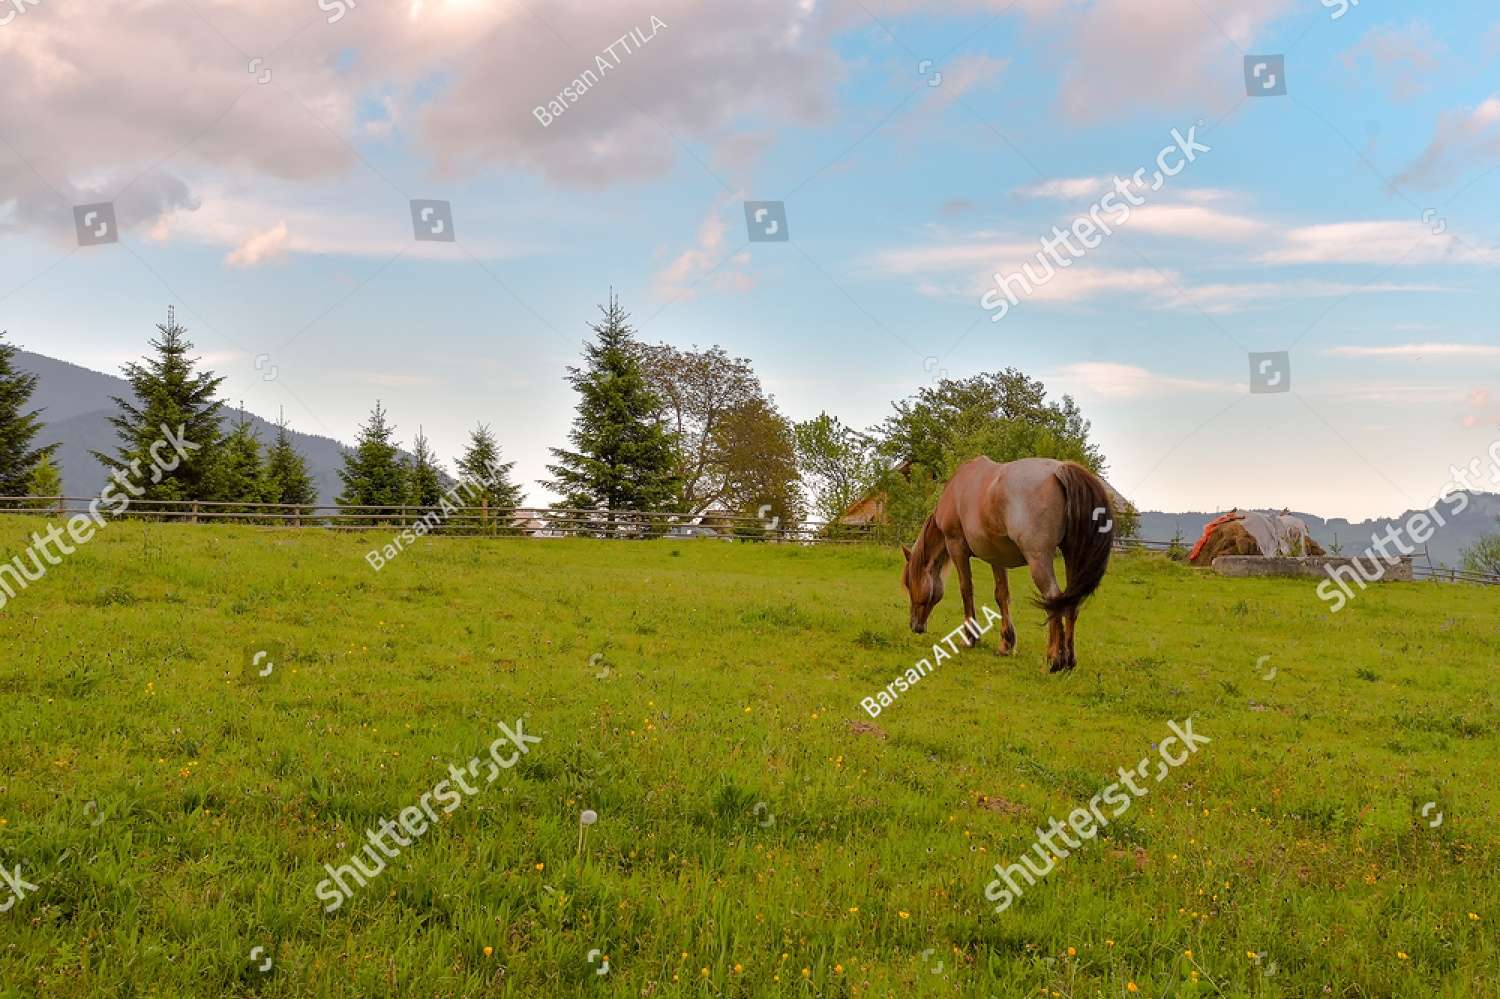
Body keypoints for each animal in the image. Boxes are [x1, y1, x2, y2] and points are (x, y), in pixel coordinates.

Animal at [900, 456, 1116, 669]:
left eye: (910, 584)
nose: (915, 626)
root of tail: (1060, 469)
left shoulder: (956, 547)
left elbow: (966, 590)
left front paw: (970, 638)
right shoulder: (996, 558)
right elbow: (1002, 595)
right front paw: (1006, 643)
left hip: (1038, 559)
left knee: (1053, 598)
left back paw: (1054, 659)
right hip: (1071, 556)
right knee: (1071, 602)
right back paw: (1069, 660)